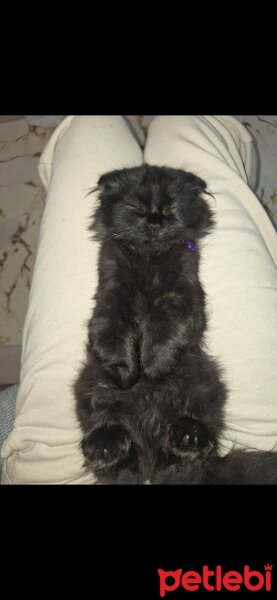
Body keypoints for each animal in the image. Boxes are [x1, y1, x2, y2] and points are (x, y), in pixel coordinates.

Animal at [74, 164, 276, 482]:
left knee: (188, 451)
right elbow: (111, 333)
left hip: (206, 385)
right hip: (90, 386)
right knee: (112, 450)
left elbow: (163, 329)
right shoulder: (110, 295)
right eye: (136, 206)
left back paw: (187, 436)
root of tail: (150, 468)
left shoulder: (183, 295)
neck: (149, 258)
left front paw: (154, 368)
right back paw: (106, 445)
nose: (155, 222)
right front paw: (125, 373)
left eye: (171, 208)